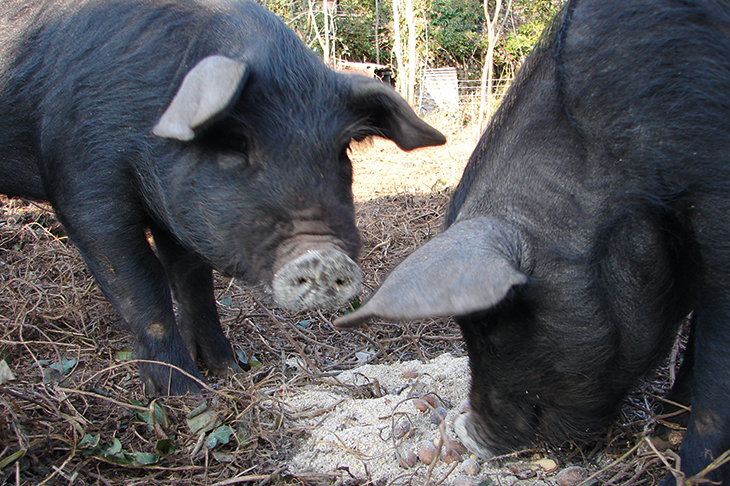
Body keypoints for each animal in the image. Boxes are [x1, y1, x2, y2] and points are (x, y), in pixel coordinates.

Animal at [0, 0, 446, 396]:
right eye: (233, 142)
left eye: (342, 150)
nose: (321, 254)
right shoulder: (83, 188)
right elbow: (142, 290)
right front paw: (187, 396)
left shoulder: (176, 216)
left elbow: (194, 281)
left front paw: (229, 371)